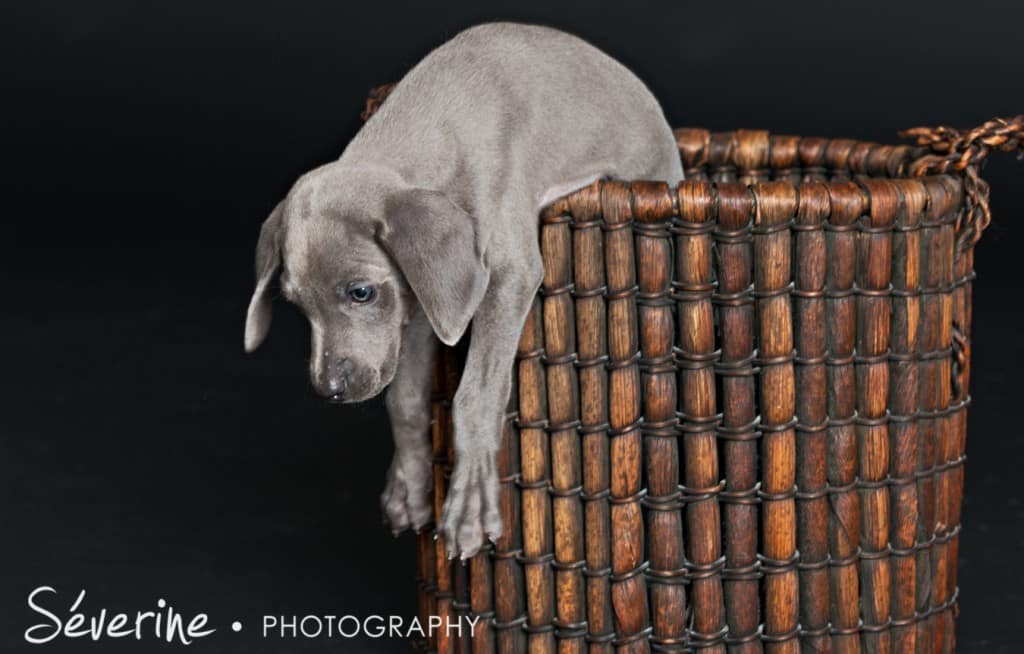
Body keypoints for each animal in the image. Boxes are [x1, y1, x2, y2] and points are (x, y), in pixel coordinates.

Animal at [243, 23, 684, 560]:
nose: (329, 390)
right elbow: (404, 397)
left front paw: (469, 504)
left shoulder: (509, 273)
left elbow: (474, 393)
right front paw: (410, 487)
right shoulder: (419, 299)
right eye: (297, 306)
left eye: (361, 292)